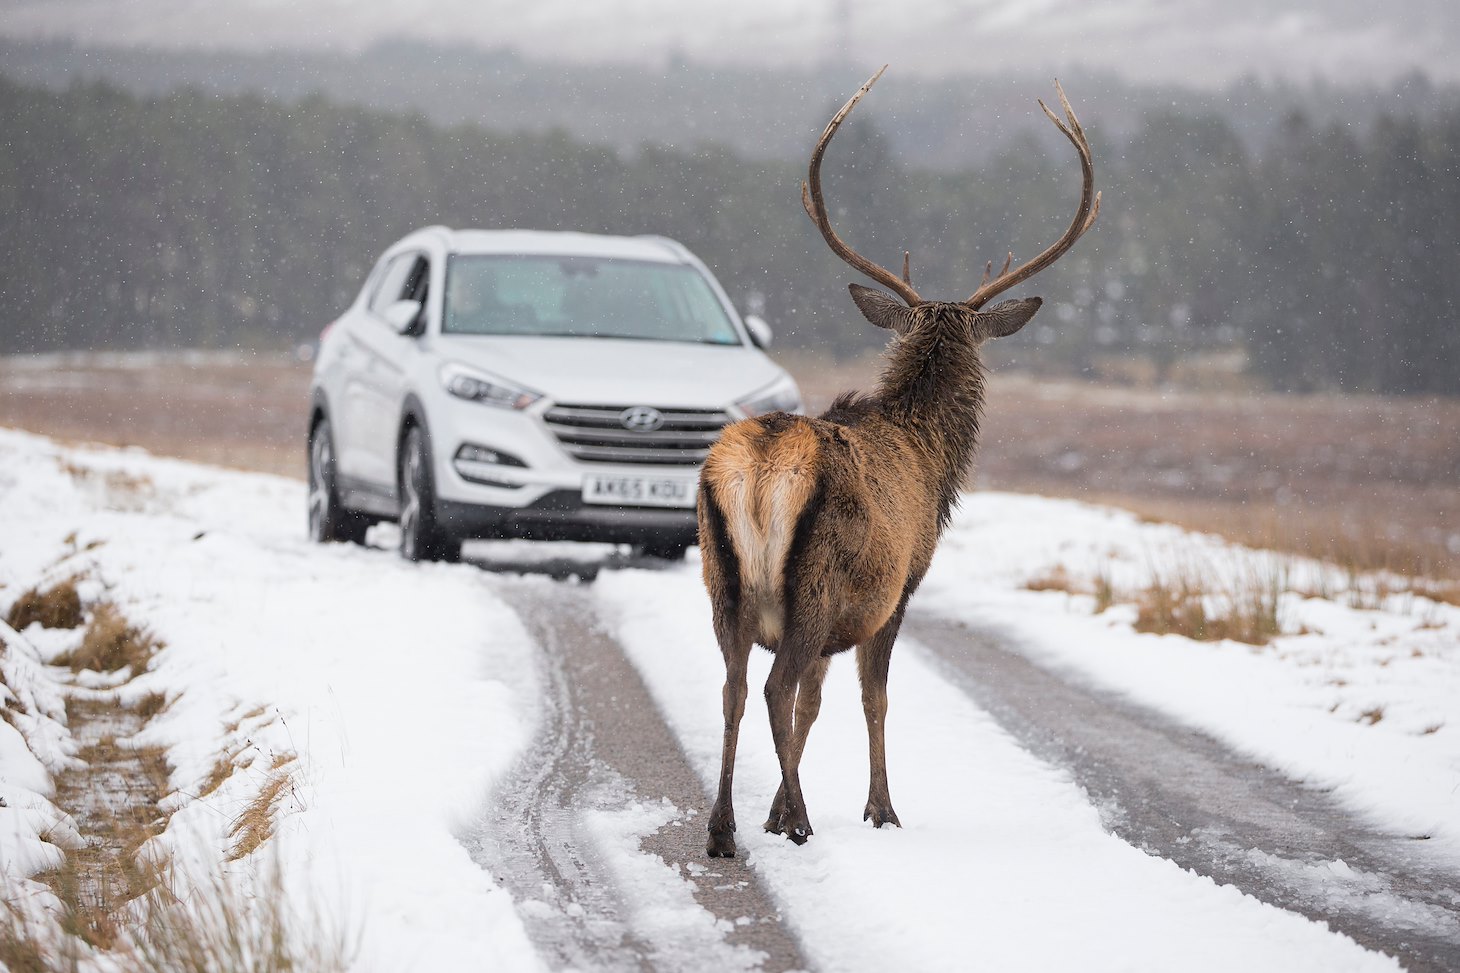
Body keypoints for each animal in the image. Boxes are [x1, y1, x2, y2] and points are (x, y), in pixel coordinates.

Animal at [696, 67, 1099, 857]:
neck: (933, 453)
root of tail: (759, 465)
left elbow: (816, 703)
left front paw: (772, 812)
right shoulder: (901, 585)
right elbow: (871, 697)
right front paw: (878, 808)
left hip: (722, 581)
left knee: (734, 686)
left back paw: (726, 827)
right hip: (813, 585)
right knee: (772, 686)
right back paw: (802, 820)